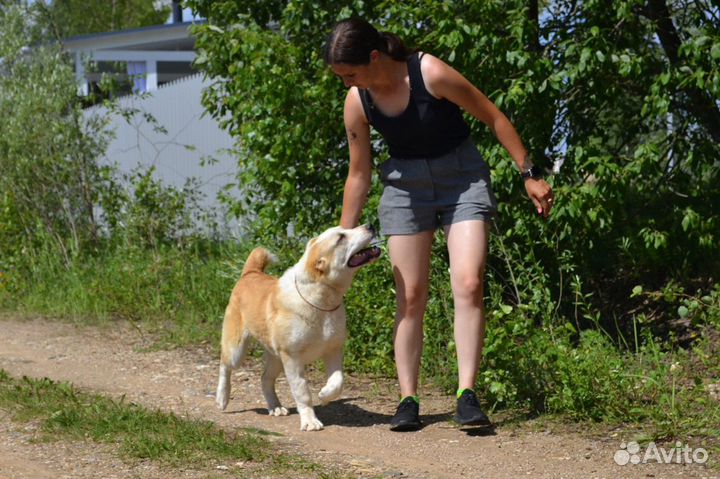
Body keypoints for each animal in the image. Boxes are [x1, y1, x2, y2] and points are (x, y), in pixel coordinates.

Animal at [217, 225, 380, 432]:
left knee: (265, 378)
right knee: (225, 364)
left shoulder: (333, 350)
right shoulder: (292, 358)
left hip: (275, 358)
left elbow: (338, 381)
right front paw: (310, 421)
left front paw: (324, 394)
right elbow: (302, 391)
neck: (320, 302)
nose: (370, 226)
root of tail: (250, 273)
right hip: (237, 349)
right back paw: (222, 398)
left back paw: (275, 407)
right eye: (341, 238)